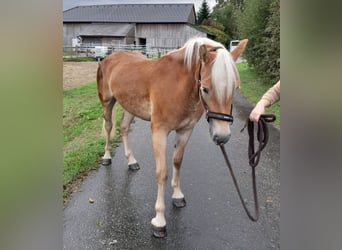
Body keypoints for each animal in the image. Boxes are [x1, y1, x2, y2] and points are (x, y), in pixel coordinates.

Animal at [97, 36, 247, 236]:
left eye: (236, 88)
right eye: (206, 89)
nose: (222, 137)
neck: (178, 86)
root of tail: (109, 57)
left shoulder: (185, 131)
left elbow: (177, 162)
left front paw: (177, 196)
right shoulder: (159, 132)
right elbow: (162, 173)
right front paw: (159, 221)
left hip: (130, 105)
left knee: (123, 128)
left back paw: (132, 161)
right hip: (107, 102)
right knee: (108, 127)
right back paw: (106, 157)